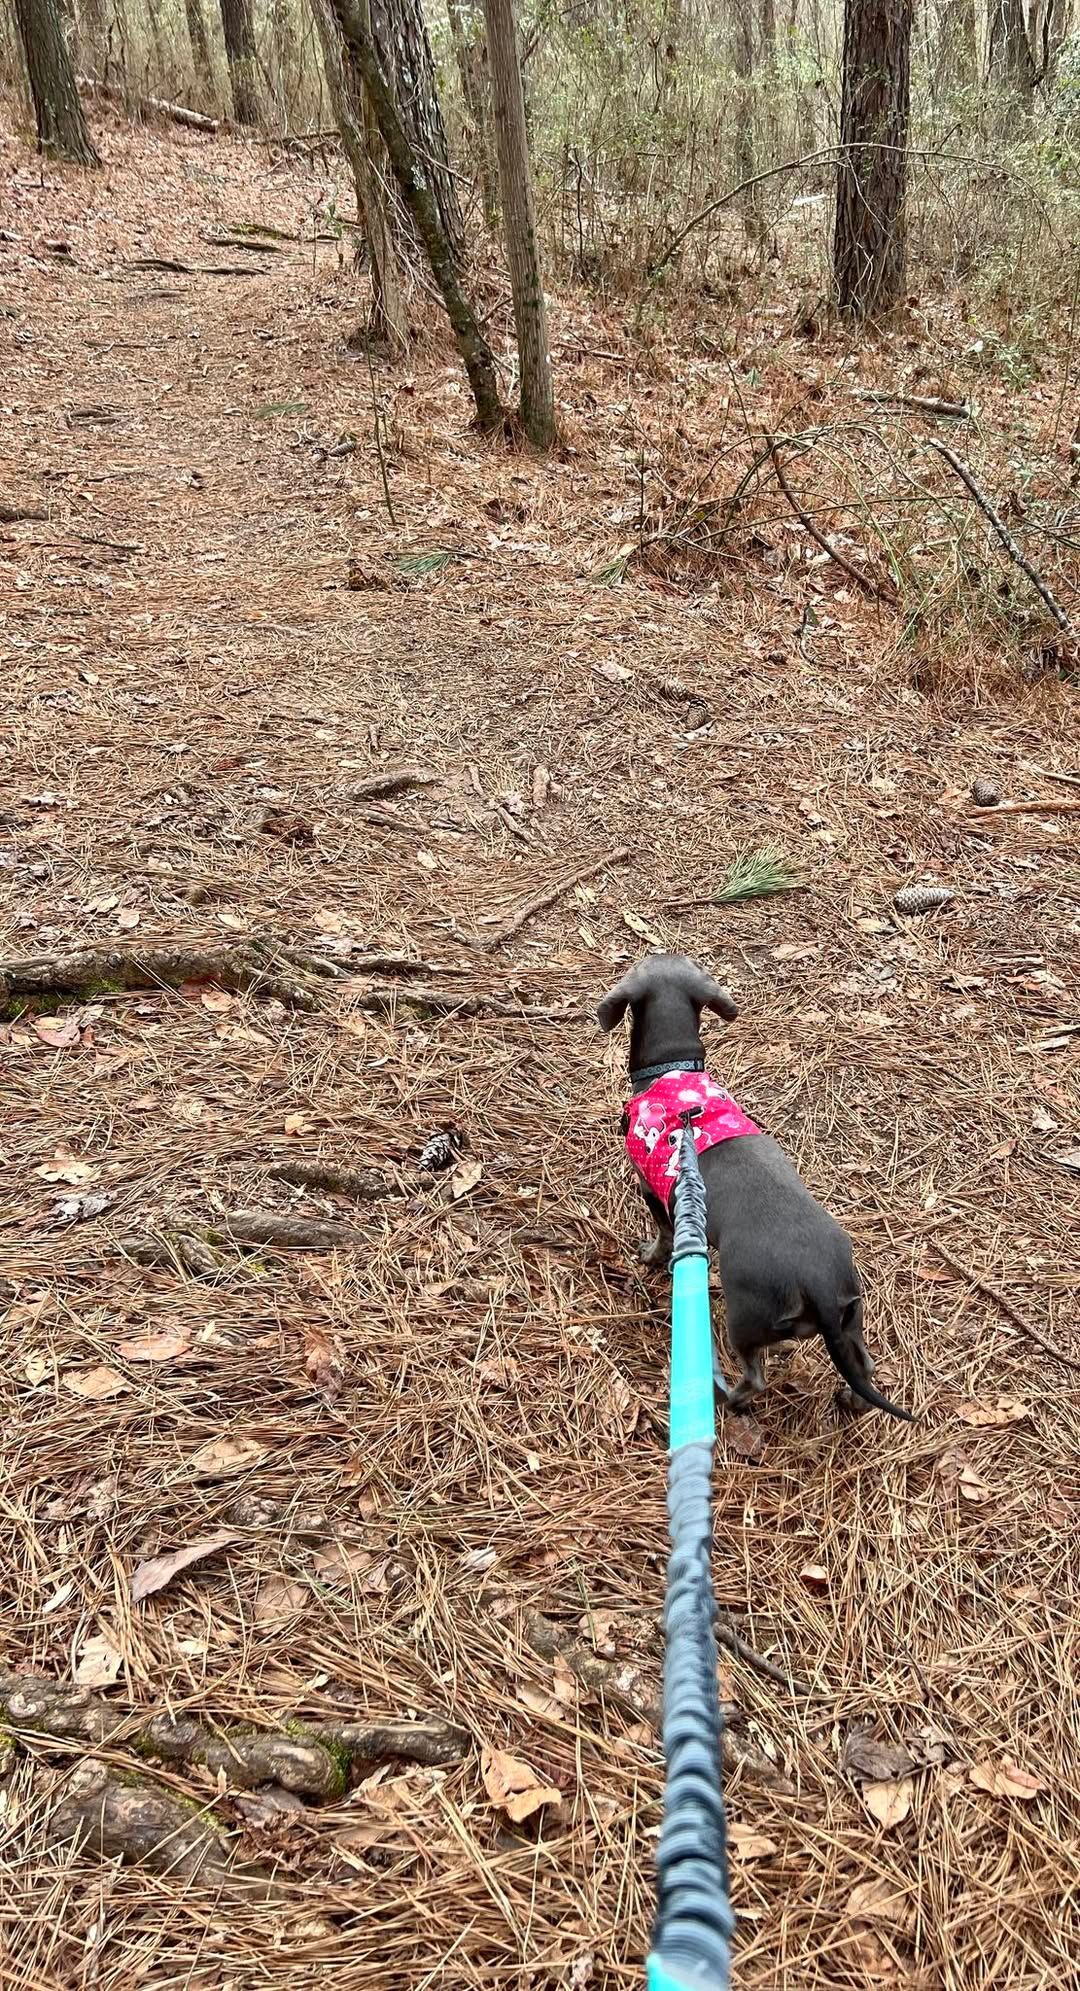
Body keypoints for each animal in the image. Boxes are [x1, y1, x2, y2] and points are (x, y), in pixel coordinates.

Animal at [601, 955, 916, 1425]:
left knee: (754, 1379)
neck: (674, 1070)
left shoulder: (654, 1193)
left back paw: (724, 1399)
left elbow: (662, 1235)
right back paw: (850, 1399)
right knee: (866, 1366)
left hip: (744, 1321)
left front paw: (650, 1257)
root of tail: (817, 1283)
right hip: (850, 1317)